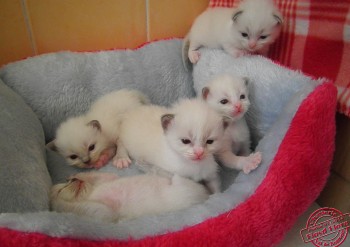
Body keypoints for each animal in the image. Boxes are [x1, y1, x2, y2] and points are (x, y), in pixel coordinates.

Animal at [50, 172, 209, 222]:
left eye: (66, 183)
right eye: (61, 190)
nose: (73, 180)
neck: (90, 193)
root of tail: (206, 196)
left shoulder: (107, 178)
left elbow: (99, 174)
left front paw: (78, 175)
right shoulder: (104, 215)